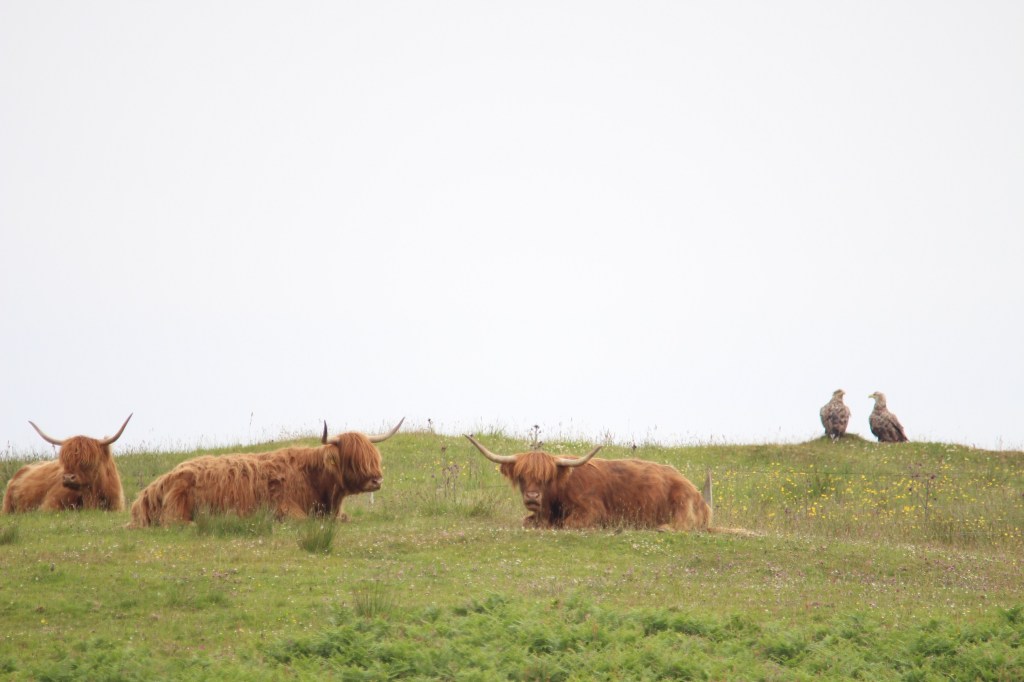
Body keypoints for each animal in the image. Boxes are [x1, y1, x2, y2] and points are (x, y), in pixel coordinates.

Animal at [129, 418, 403, 527]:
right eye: (353, 460)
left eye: (374, 457)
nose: (377, 479)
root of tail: (150, 489)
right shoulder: (284, 509)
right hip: (178, 502)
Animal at [465, 435, 715, 532]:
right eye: (521, 476)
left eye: (546, 478)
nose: (532, 497)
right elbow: (525, 521)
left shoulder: (592, 511)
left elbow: (569, 524)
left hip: (682, 505)